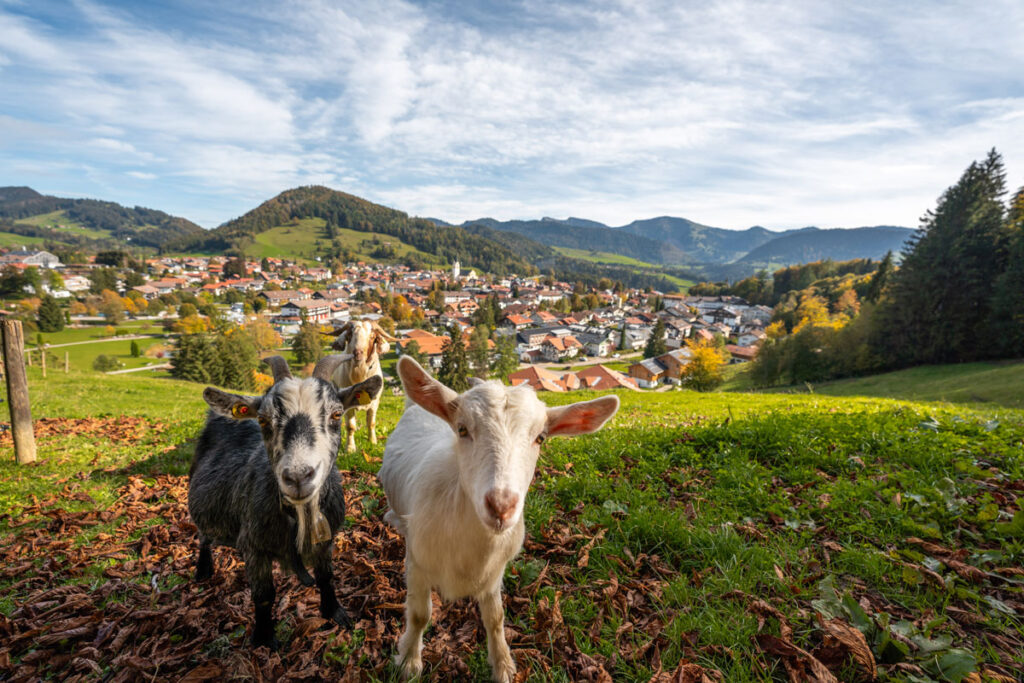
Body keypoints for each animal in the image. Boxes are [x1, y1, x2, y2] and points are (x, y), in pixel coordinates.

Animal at [188, 354, 383, 649]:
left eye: (337, 414)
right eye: (263, 420)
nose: (298, 476)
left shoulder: (326, 540)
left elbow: (326, 577)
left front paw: (334, 612)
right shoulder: (254, 546)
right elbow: (264, 595)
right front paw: (264, 638)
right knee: (203, 535)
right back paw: (203, 569)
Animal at [328, 319, 397, 452]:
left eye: (372, 336)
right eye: (350, 335)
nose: (357, 353)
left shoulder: (374, 403)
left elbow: (371, 423)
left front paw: (373, 442)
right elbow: (350, 426)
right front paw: (350, 448)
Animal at [381, 356, 620, 682]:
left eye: (541, 438)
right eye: (462, 429)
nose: (502, 506)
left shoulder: (494, 572)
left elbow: (495, 618)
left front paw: (503, 665)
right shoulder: (417, 562)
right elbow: (419, 615)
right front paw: (408, 662)